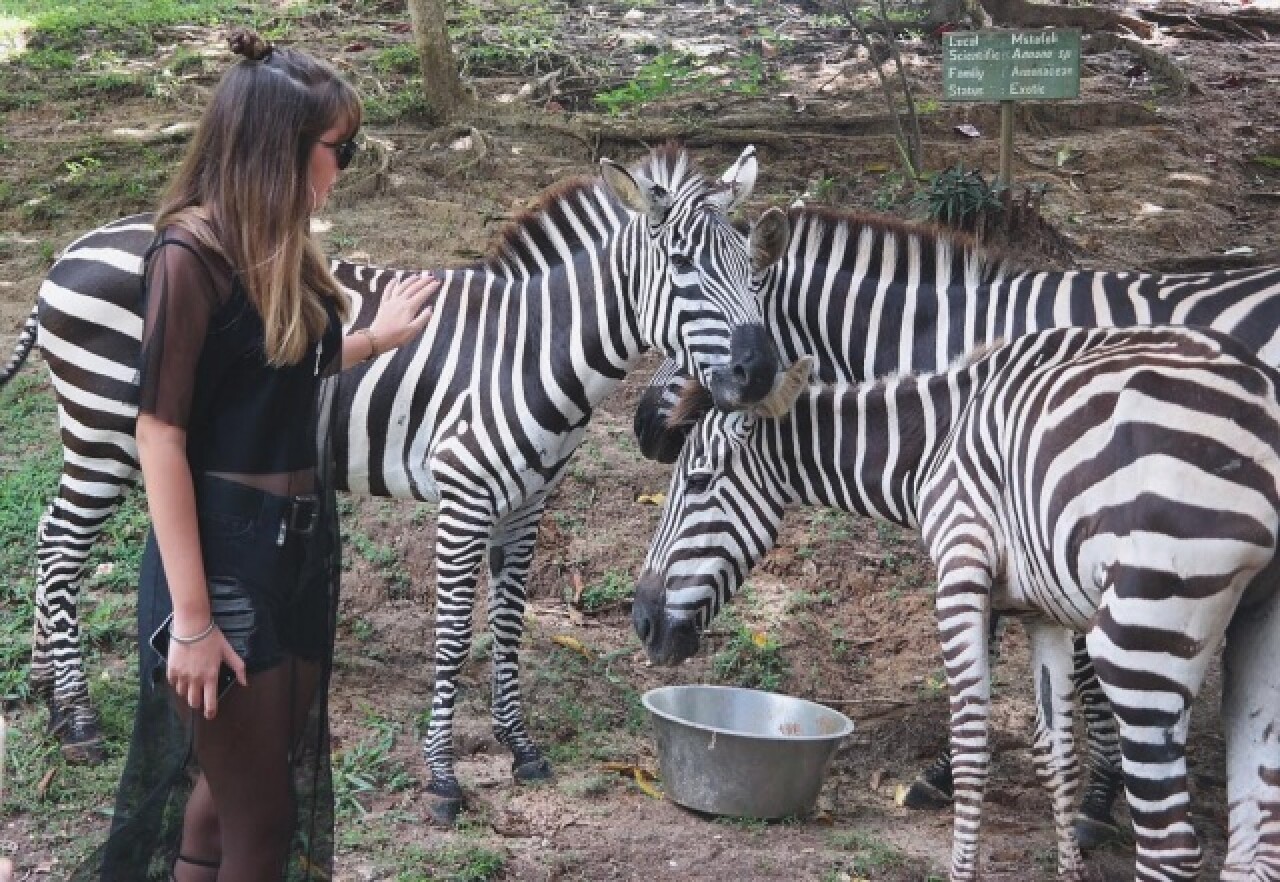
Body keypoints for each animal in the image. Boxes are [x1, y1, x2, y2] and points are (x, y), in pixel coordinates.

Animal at [2, 145, 788, 819]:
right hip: (106, 427)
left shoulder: (528, 506)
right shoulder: (466, 498)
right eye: (681, 265)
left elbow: (508, 627)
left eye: (754, 270)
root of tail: (70, 252)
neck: (534, 350)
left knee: (50, 534)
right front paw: (441, 777)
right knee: (63, 546)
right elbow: (453, 635)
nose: (760, 372)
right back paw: (77, 718)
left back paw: (48, 690)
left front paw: (520, 747)